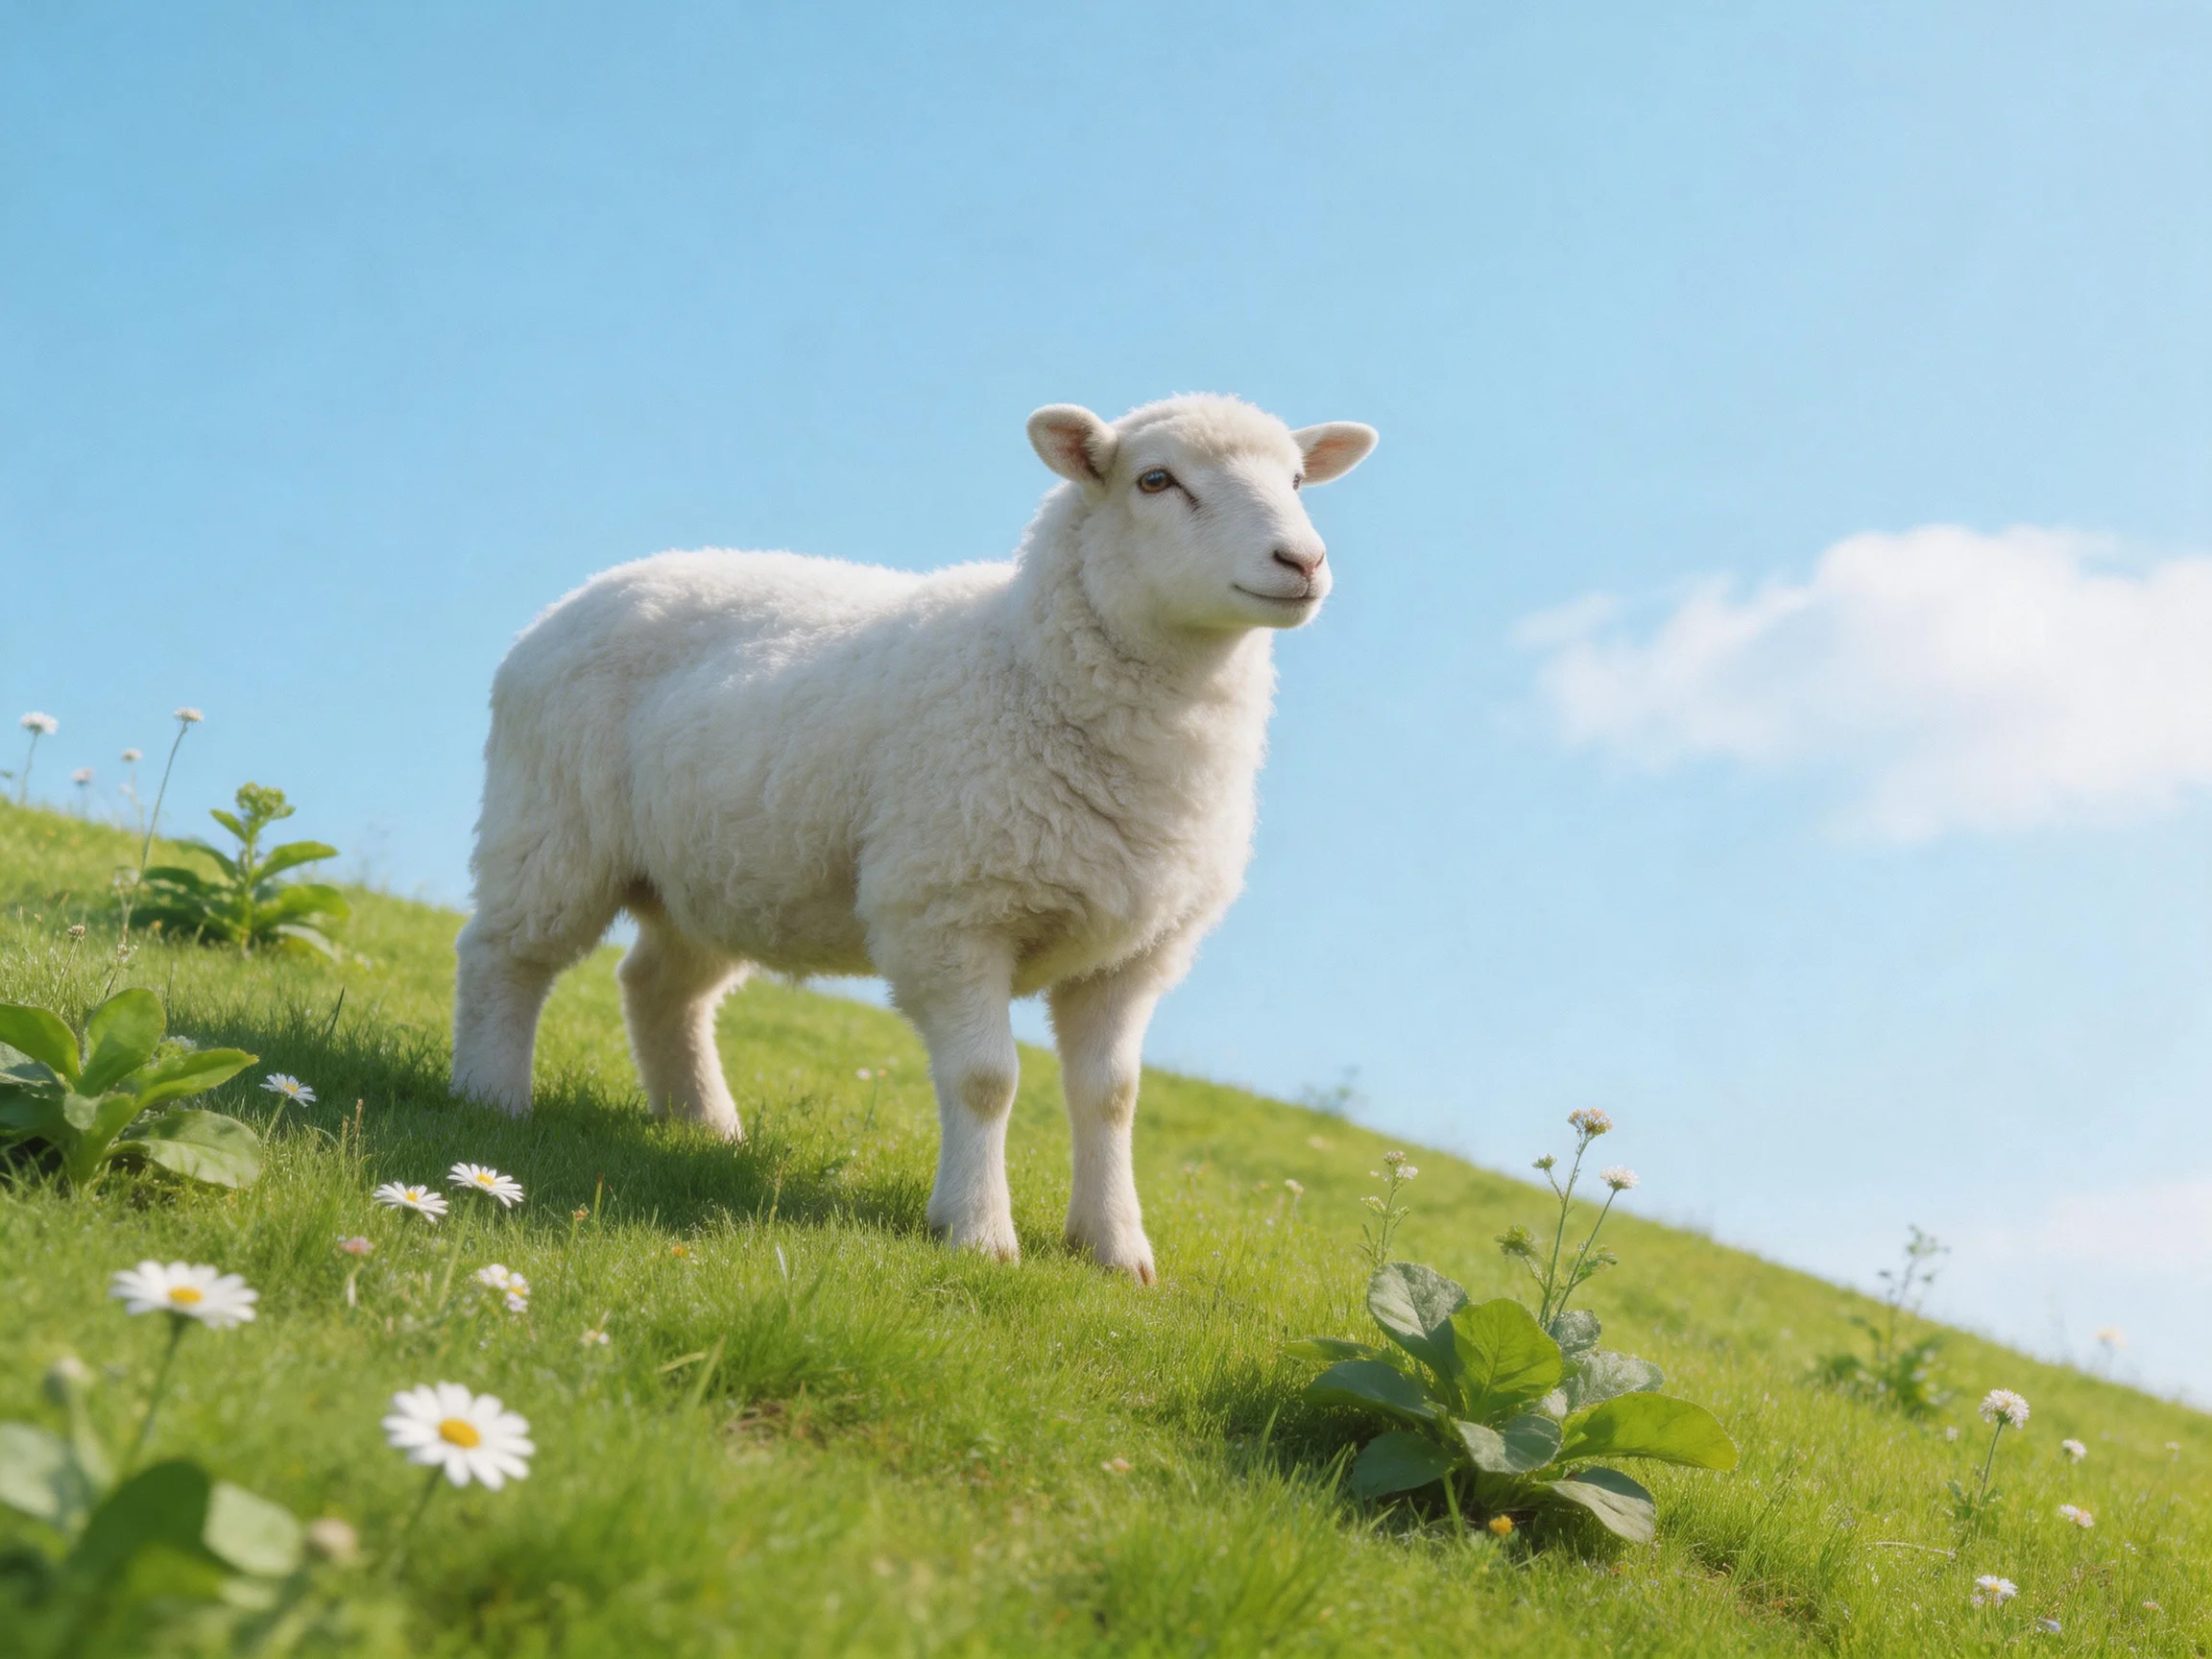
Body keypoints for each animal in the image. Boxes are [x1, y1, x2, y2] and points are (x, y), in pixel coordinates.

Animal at [452, 394, 1376, 1280]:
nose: (1302, 562)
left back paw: (704, 1125)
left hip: (714, 872)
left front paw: (1114, 1249)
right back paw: (491, 1101)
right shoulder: (950, 912)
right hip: (551, 827)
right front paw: (977, 1232)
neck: (1027, 663)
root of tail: (580, 595)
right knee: (504, 956)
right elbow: (985, 1080)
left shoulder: (1136, 951)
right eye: (1155, 480)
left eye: (1298, 480)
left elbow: (1112, 1096)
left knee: (659, 986)